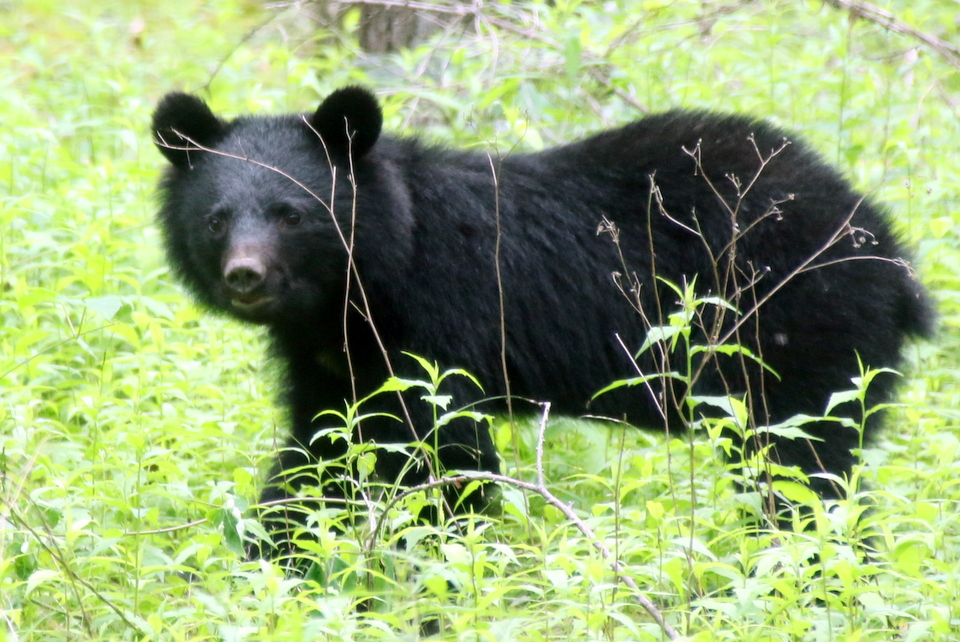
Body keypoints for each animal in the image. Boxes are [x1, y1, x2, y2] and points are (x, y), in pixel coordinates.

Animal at [150, 85, 928, 556]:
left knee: (803, 473)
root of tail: (893, 255)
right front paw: (271, 555)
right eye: (217, 219)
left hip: (797, 337)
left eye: (292, 215)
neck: (361, 286)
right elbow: (323, 449)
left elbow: (441, 456)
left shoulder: (441, 324)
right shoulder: (330, 355)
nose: (245, 277)